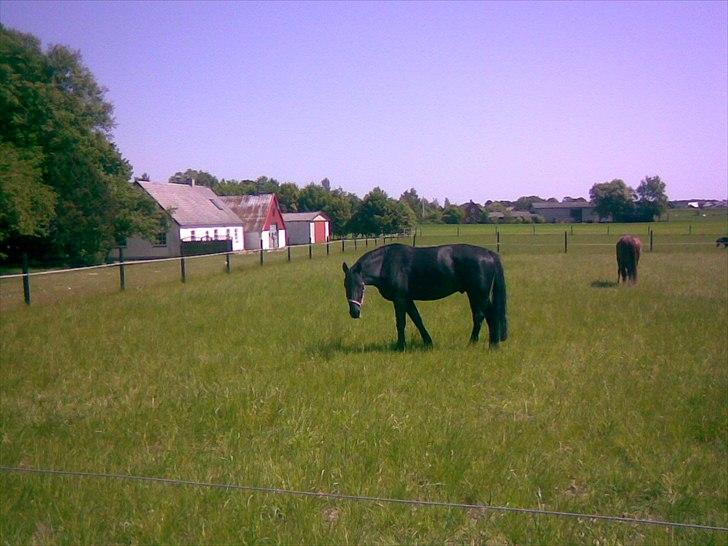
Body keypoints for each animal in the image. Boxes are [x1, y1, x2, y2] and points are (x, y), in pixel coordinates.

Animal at [344, 242, 510, 348]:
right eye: (345, 285)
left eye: (361, 286)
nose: (354, 312)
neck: (386, 263)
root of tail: (488, 254)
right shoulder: (408, 299)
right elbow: (417, 319)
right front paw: (428, 342)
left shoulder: (400, 299)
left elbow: (401, 322)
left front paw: (400, 346)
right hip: (476, 294)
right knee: (484, 316)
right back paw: (484, 343)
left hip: (479, 294)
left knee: (486, 315)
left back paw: (484, 344)